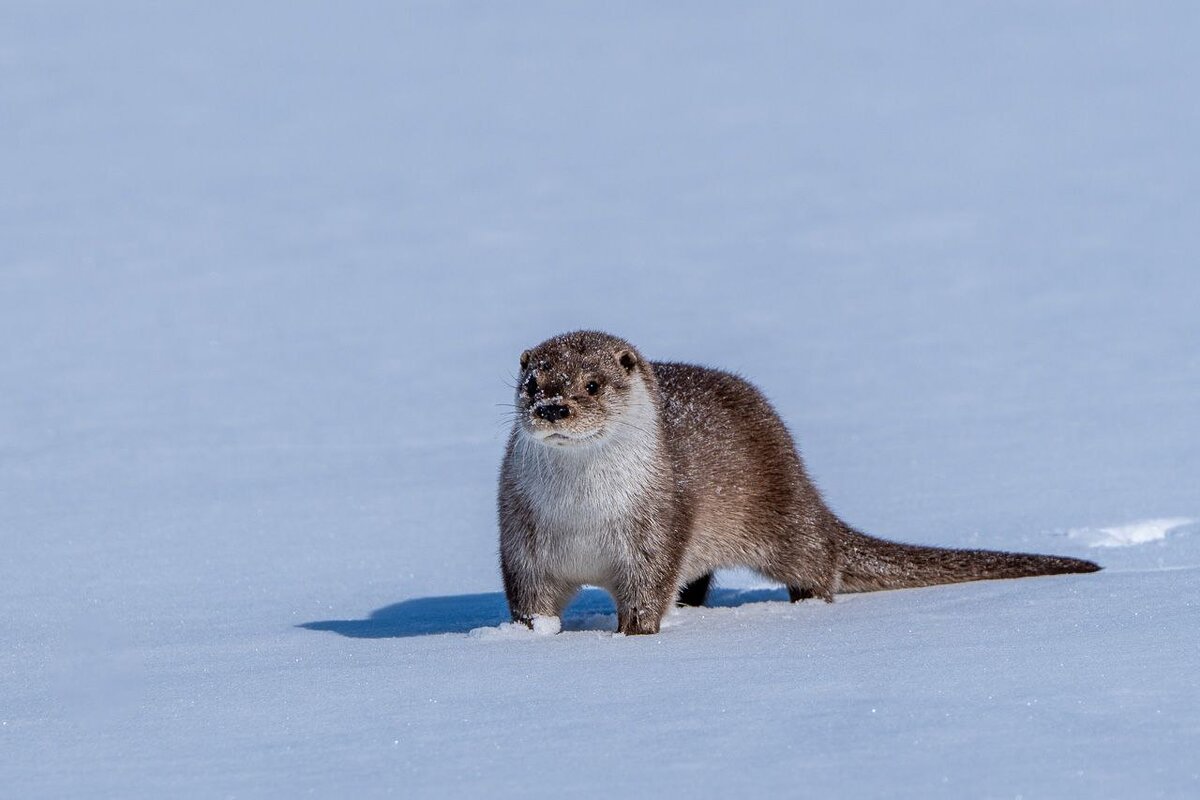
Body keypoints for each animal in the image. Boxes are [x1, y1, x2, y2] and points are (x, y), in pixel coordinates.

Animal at [494, 328, 1099, 633]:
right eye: (533, 383)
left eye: (592, 384)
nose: (552, 407)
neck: (584, 515)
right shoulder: (522, 537)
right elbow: (529, 599)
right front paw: (530, 638)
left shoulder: (659, 525)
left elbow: (647, 593)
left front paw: (633, 636)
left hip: (781, 513)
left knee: (818, 558)